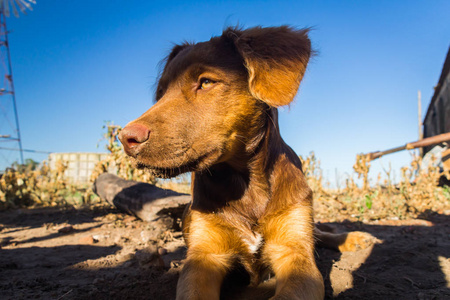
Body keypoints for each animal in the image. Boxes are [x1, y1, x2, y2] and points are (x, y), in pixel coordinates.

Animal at [121, 26, 332, 300]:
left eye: (206, 82)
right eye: (162, 92)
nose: (125, 139)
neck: (245, 182)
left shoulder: (296, 254)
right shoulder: (204, 257)